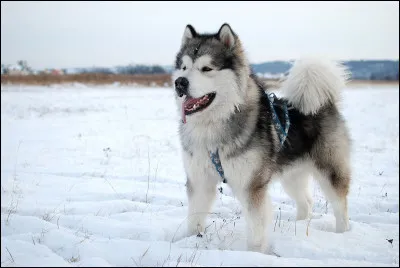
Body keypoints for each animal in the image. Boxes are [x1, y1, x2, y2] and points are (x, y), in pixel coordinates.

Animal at [172, 23, 350, 253]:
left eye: (206, 68)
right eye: (184, 67)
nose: (180, 83)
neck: (213, 126)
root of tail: (325, 102)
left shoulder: (252, 185)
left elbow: (256, 226)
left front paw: (255, 253)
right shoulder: (199, 179)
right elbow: (194, 217)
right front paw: (190, 241)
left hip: (330, 169)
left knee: (340, 204)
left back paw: (343, 233)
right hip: (292, 174)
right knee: (306, 201)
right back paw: (299, 227)